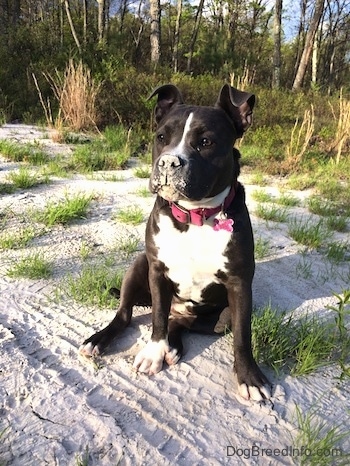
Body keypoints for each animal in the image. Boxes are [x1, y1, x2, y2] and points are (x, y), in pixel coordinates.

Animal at [79, 83, 270, 400]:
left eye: (205, 142)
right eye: (161, 137)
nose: (168, 162)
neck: (195, 216)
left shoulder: (240, 286)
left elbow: (243, 336)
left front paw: (250, 378)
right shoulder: (157, 271)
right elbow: (157, 318)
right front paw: (153, 353)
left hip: (222, 317)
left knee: (180, 321)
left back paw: (175, 347)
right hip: (138, 265)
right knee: (126, 315)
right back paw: (100, 340)